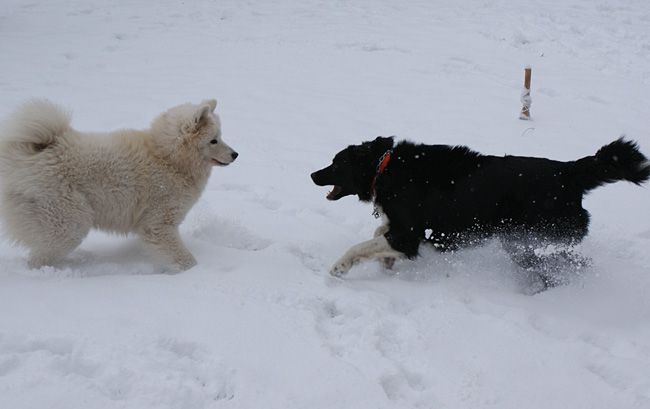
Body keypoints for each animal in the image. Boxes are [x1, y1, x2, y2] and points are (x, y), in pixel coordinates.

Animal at [0, 99, 235, 270]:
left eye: (220, 136)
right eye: (213, 140)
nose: (236, 154)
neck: (167, 157)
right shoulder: (158, 224)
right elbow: (183, 258)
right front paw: (194, 272)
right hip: (67, 223)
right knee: (38, 259)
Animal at [312, 135, 644, 286]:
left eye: (337, 163)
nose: (313, 174)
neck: (385, 168)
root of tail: (568, 172)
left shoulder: (408, 234)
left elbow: (362, 245)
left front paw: (340, 268)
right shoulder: (407, 231)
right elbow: (379, 232)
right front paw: (387, 262)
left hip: (531, 234)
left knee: (560, 263)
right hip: (521, 239)